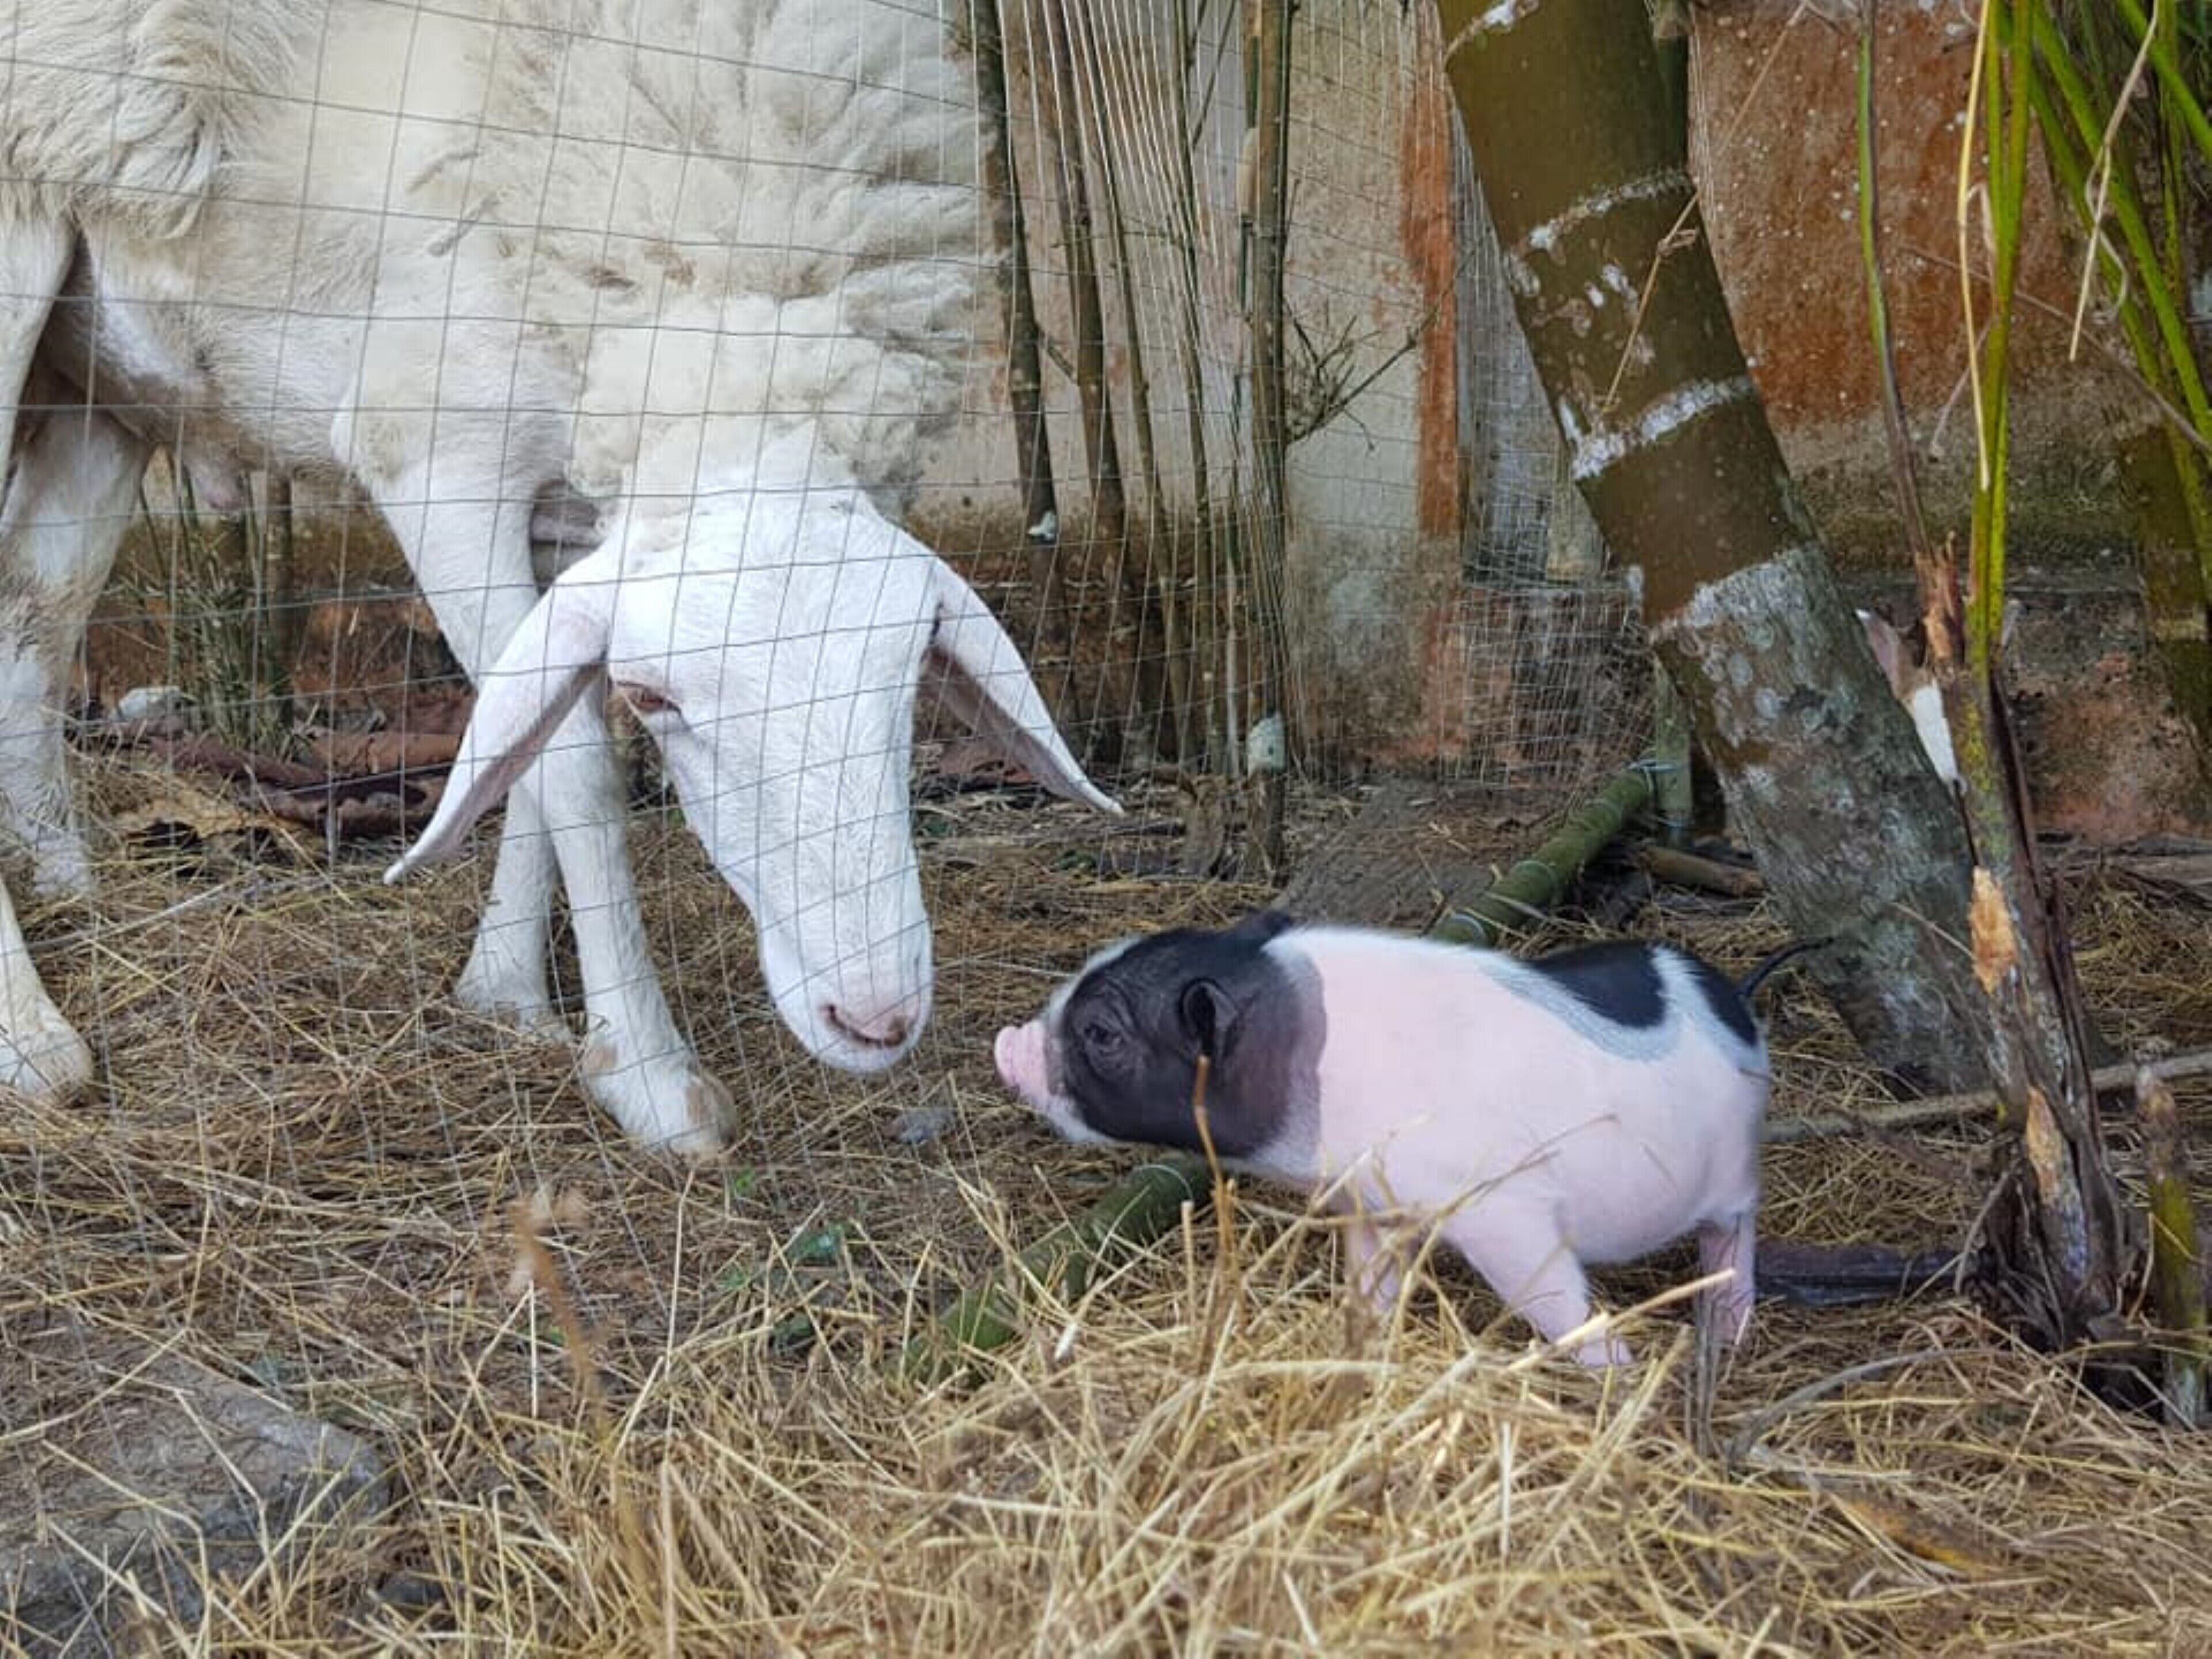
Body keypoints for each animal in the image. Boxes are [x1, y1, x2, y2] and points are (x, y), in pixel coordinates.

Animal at [995, 913, 1818, 1366]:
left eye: (1102, 1034)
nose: (1005, 1042)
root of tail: (1734, 997)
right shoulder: (1375, 1201)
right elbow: (1371, 1277)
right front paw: (1359, 1339)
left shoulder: (1505, 1209)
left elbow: (1552, 1296)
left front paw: (1614, 1370)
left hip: (1736, 1171)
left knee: (1734, 1236)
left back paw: (1726, 1335)